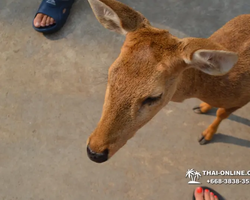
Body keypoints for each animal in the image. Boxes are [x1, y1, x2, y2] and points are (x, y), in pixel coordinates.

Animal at [86, 0, 250, 163]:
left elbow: (221, 113)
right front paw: (203, 108)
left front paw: (205, 136)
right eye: (110, 75)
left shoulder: (242, 99)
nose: (95, 152)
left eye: (154, 97)